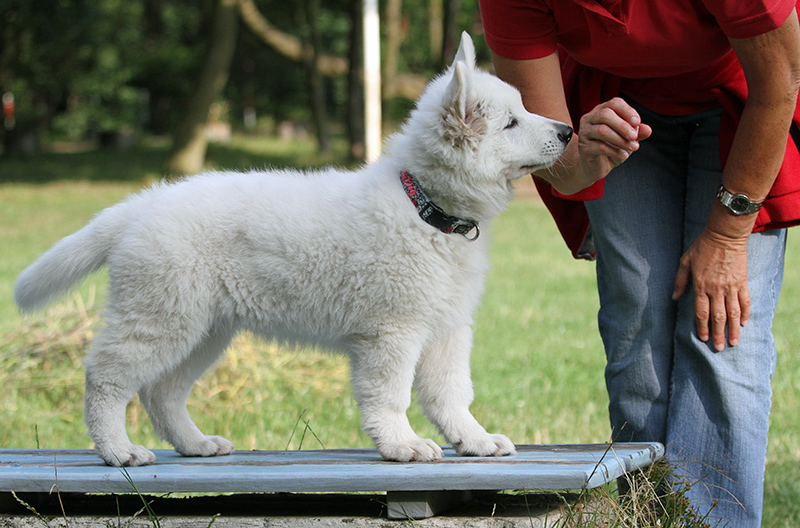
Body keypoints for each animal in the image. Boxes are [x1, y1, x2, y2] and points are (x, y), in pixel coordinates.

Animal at [14, 33, 572, 467]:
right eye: (511, 123)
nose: (569, 130)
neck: (426, 207)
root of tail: (138, 206)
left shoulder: (447, 328)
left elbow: (452, 393)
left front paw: (473, 440)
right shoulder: (391, 330)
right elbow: (390, 395)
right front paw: (402, 445)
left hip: (204, 327)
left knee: (161, 390)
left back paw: (194, 444)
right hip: (161, 315)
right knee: (106, 376)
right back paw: (117, 450)